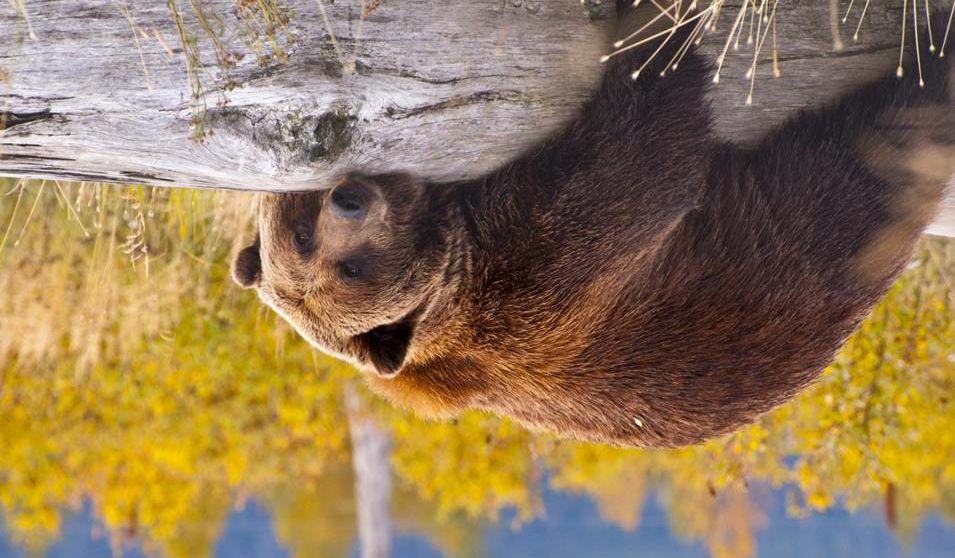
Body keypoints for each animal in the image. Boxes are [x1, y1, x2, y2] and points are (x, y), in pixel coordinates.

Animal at [233, 6, 955, 448]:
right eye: (342, 264)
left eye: (305, 235)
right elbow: (646, 153)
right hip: (804, 235)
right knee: (886, 137)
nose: (349, 197)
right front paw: (658, 28)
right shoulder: (541, 269)